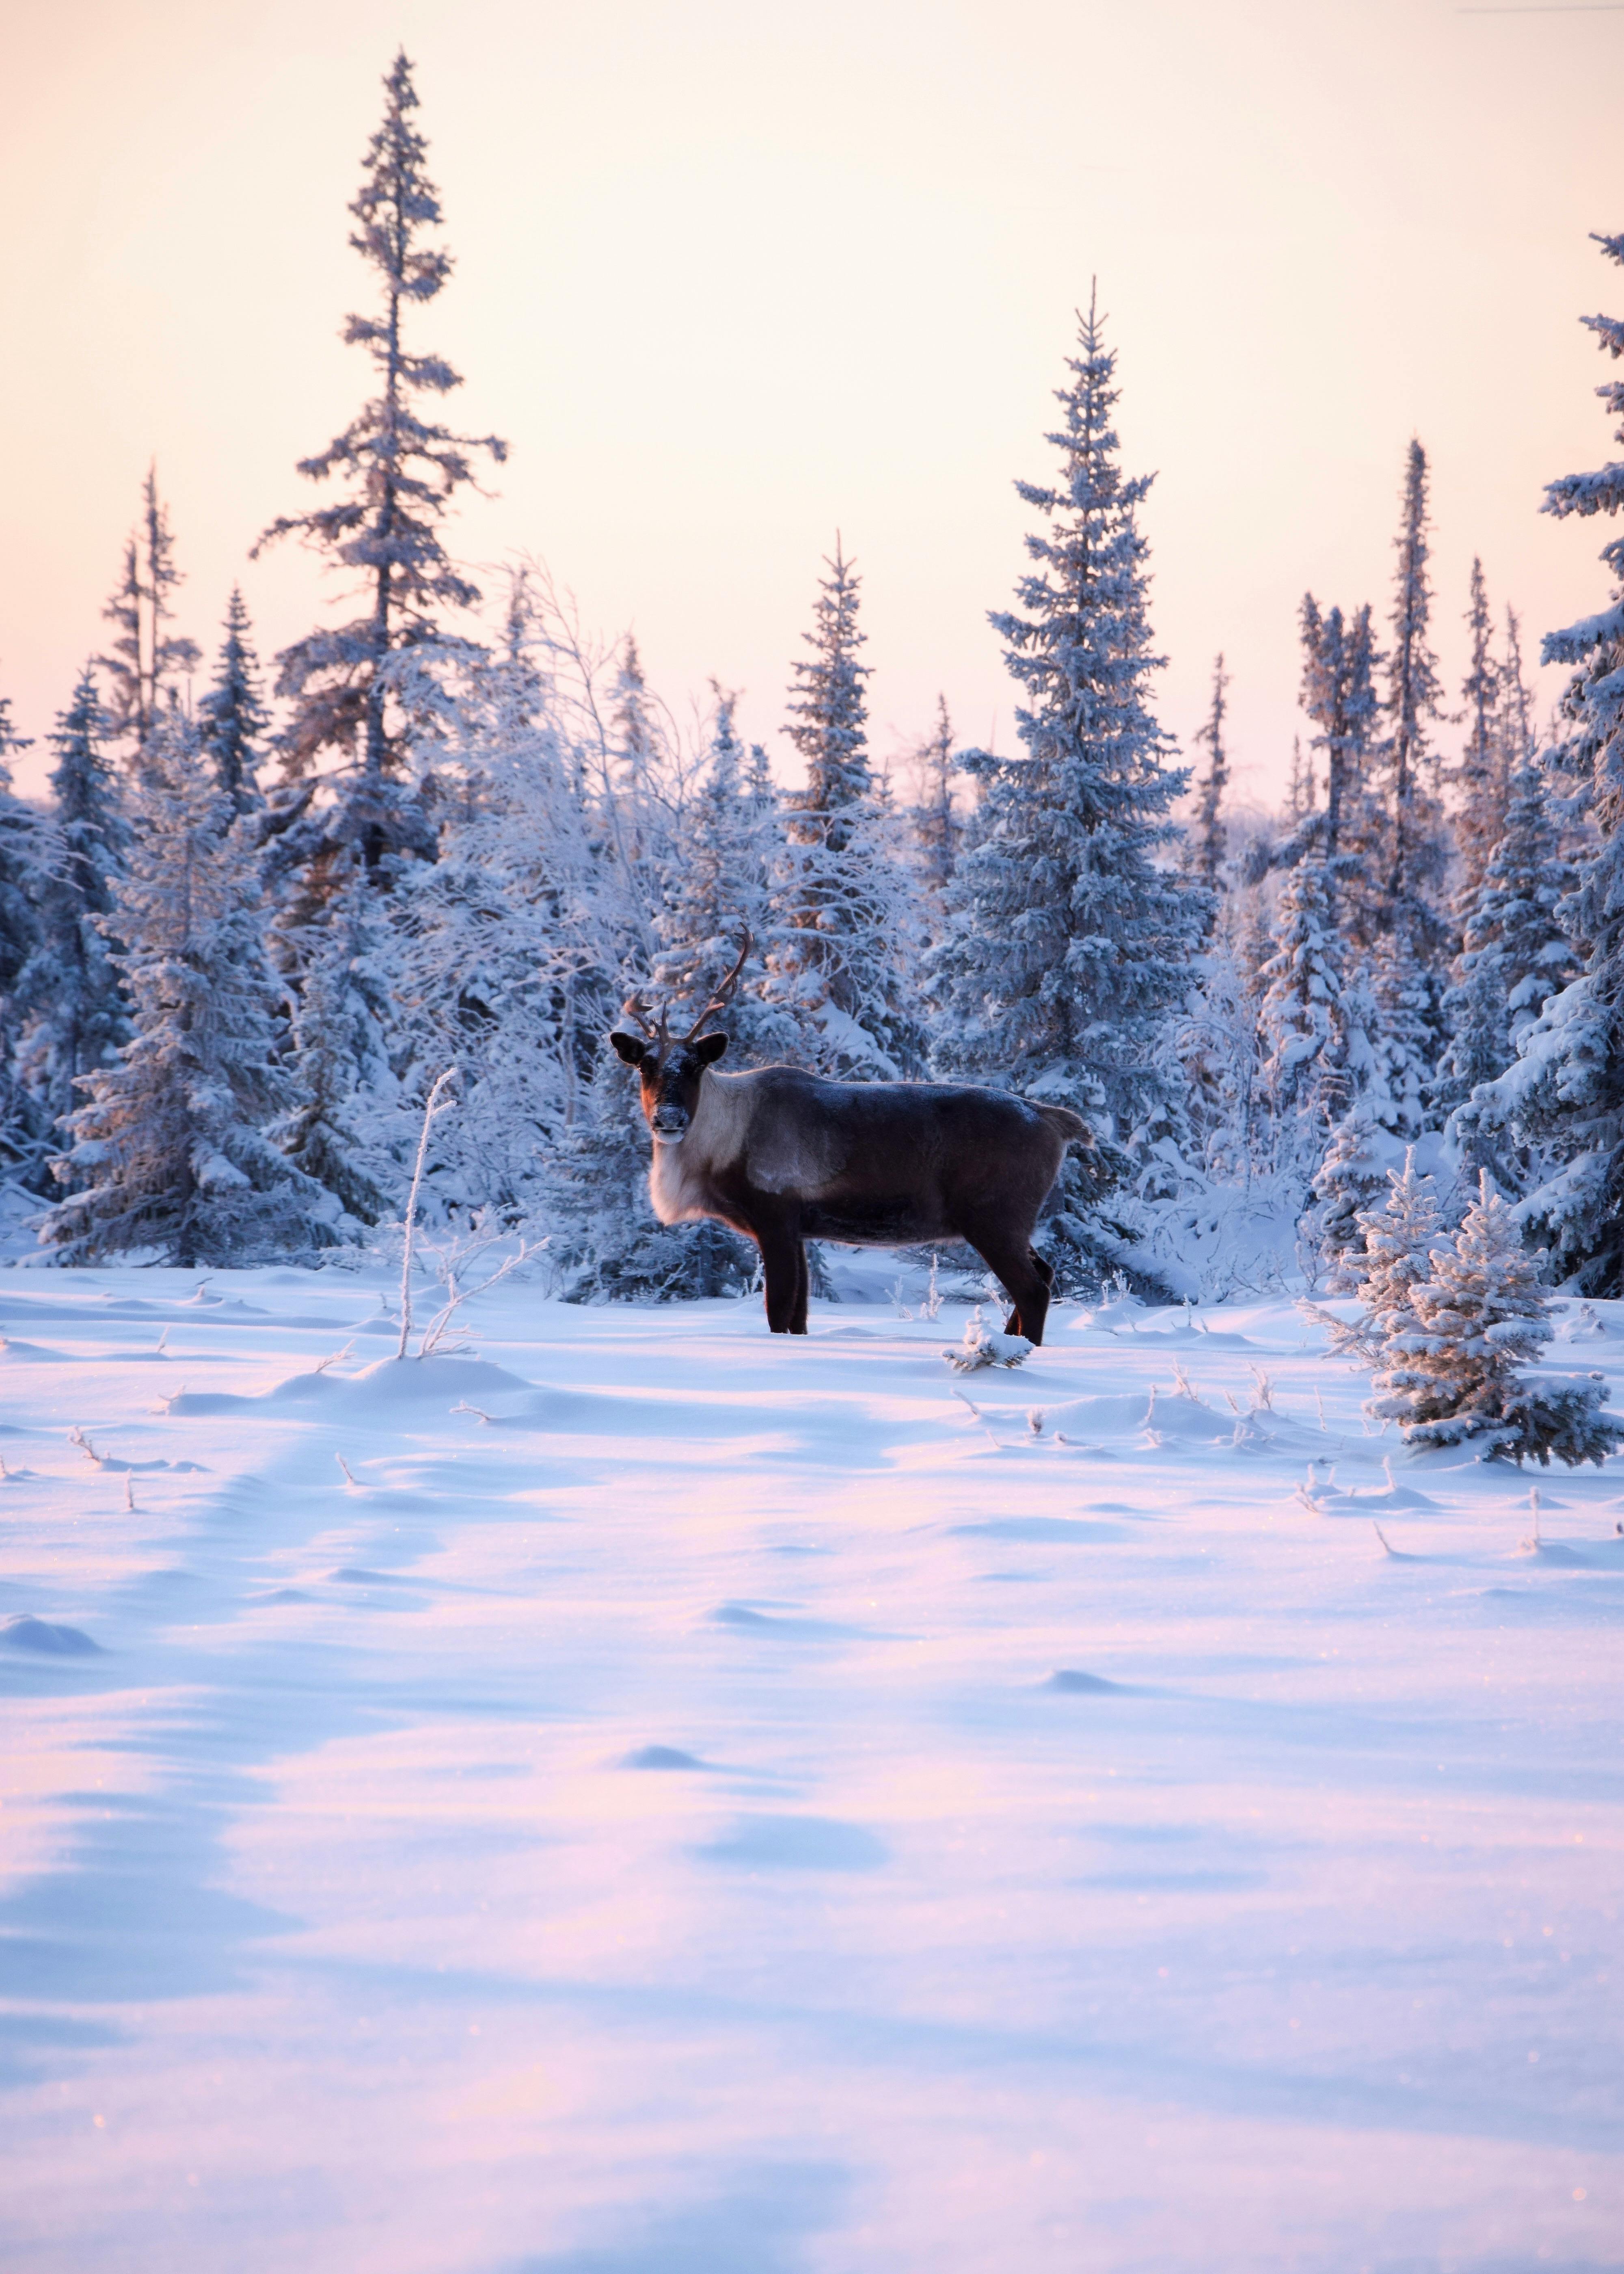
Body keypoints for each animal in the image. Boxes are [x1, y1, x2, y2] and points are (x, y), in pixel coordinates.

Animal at [608, 937, 1090, 1342]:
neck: (721, 1145)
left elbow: (778, 1310)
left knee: (1032, 1289)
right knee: (1046, 1273)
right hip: (1014, 1221)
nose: (668, 1118)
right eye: (645, 1066)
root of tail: (1053, 1119)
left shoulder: (774, 1216)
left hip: (994, 1217)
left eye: (695, 1067)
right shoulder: (800, 1228)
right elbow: (798, 1316)